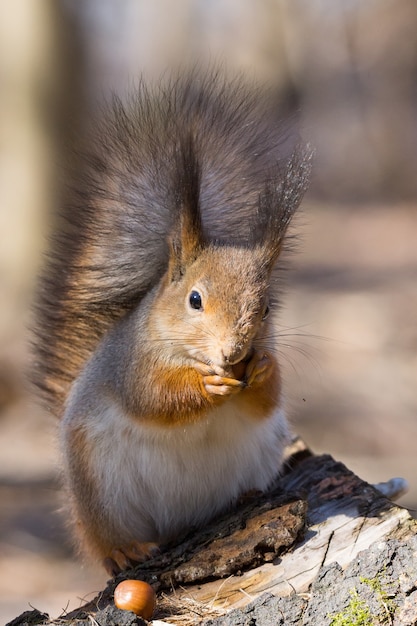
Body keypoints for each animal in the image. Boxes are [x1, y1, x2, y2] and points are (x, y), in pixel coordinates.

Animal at [33, 70, 312, 572]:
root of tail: (177, 523)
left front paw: (263, 370)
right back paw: (123, 549)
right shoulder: (130, 366)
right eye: (195, 299)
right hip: (100, 491)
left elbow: (266, 400)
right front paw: (206, 386)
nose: (234, 352)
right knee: (105, 539)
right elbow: (153, 398)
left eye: (266, 309)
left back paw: (245, 495)